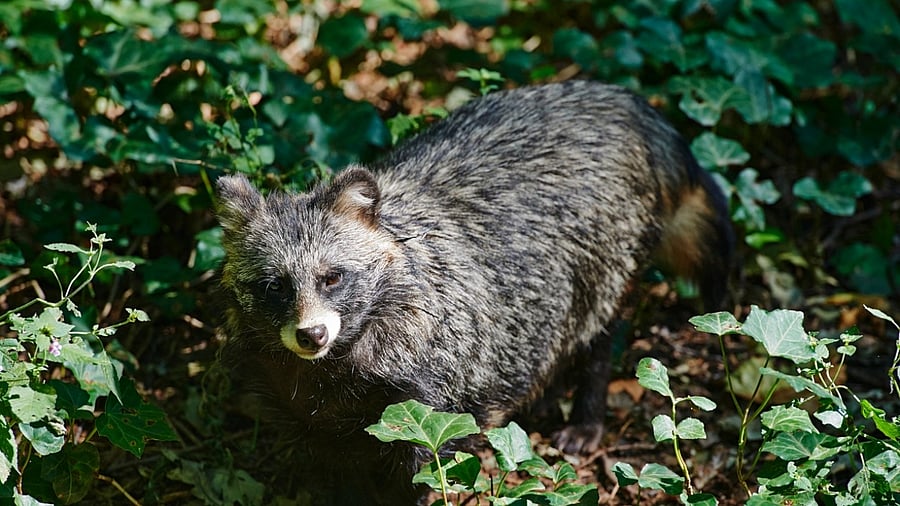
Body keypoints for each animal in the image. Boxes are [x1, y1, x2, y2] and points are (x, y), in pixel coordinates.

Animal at [216, 80, 733, 504]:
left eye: (333, 278)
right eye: (275, 287)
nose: (312, 335)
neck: (335, 367)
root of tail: (625, 101)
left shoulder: (431, 396)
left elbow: (423, 471)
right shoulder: (306, 410)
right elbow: (336, 471)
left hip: (609, 255)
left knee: (599, 333)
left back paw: (586, 412)